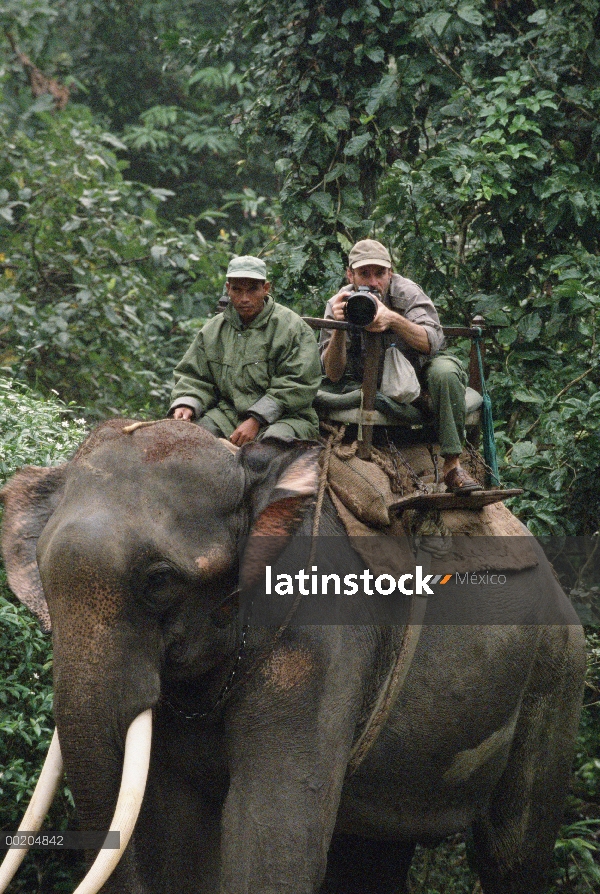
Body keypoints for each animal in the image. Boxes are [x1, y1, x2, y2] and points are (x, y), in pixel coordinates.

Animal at [0, 422, 584, 894]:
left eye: (160, 580)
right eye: (41, 575)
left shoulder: (319, 640)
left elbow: (274, 842)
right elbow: (178, 833)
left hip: (558, 675)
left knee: (512, 853)